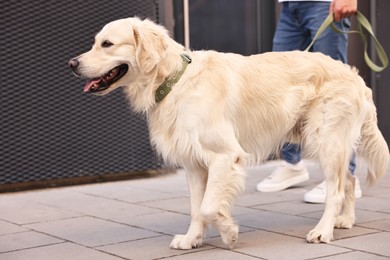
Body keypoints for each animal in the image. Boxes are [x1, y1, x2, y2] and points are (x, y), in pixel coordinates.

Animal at [68, 17, 388, 249]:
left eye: (107, 44)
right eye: (95, 43)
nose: (72, 64)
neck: (175, 80)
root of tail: (355, 75)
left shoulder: (224, 156)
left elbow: (209, 206)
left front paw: (228, 231)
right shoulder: (193, 164)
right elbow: (196, 207)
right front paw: (192, 239)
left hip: (326, 140)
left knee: (336, 189)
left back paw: (323, 230)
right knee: (349, 180)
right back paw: (344, 220)